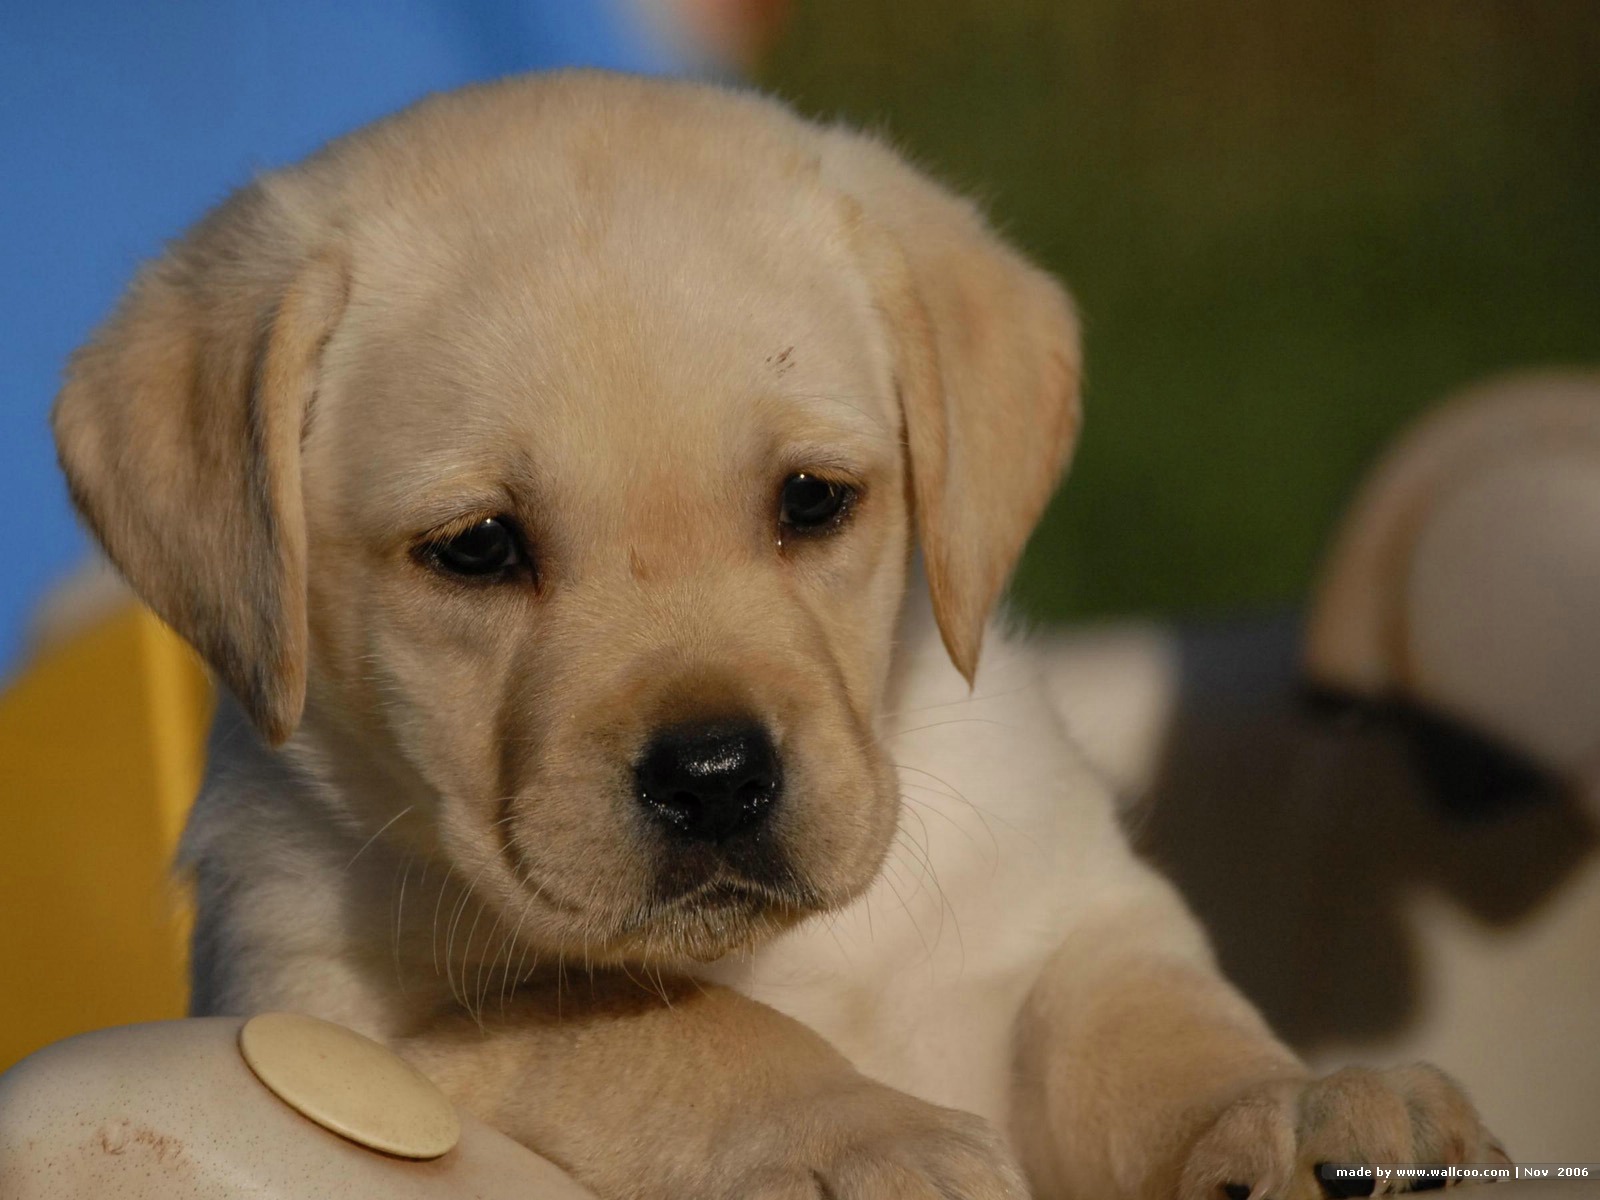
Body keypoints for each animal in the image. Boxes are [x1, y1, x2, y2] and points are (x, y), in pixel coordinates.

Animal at [46, 72, 1497, 1200]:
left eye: (812, 501)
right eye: (477, 548)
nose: (715, 778)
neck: (796, 955)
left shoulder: (1068, 914)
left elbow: (1149, 1027)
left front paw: (1299, 1111)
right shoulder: (350, 1016)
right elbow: (643, 1021)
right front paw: (867, 1135)